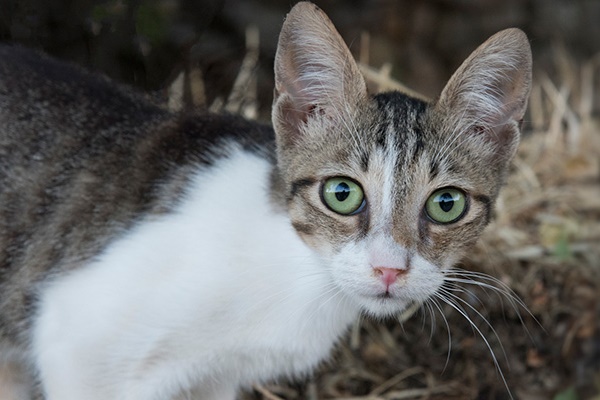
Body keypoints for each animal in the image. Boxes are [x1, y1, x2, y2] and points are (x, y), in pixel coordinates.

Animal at [0, 1, 532, 398]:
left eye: (447, 204)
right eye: (342, 194)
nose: (389, 269)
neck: (300, 278)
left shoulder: (210, 383)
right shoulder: (77, 345)